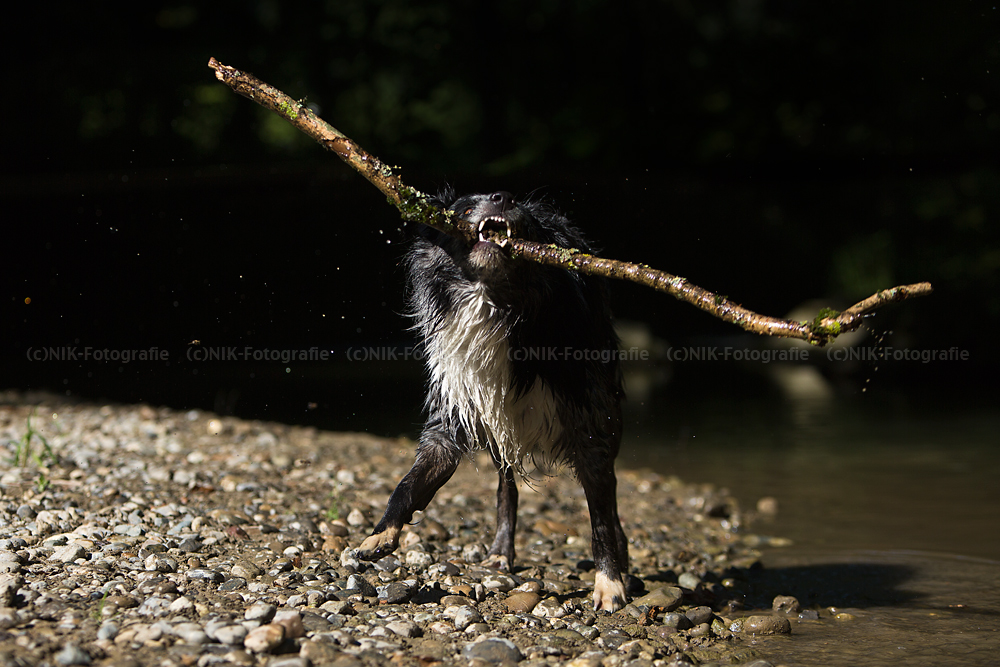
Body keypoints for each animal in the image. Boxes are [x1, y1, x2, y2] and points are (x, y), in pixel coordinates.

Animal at [356, 187, 628, 612]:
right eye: (466, 206)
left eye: (524, 216)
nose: (503, 197)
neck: (493, 303)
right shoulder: (450, 423)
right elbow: (408, 485)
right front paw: (381, 533)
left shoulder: (590, 430)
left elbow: (600, 519)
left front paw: (609, 582)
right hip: (499, 431)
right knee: (506, 488)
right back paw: (501, 552)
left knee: (610, 501)